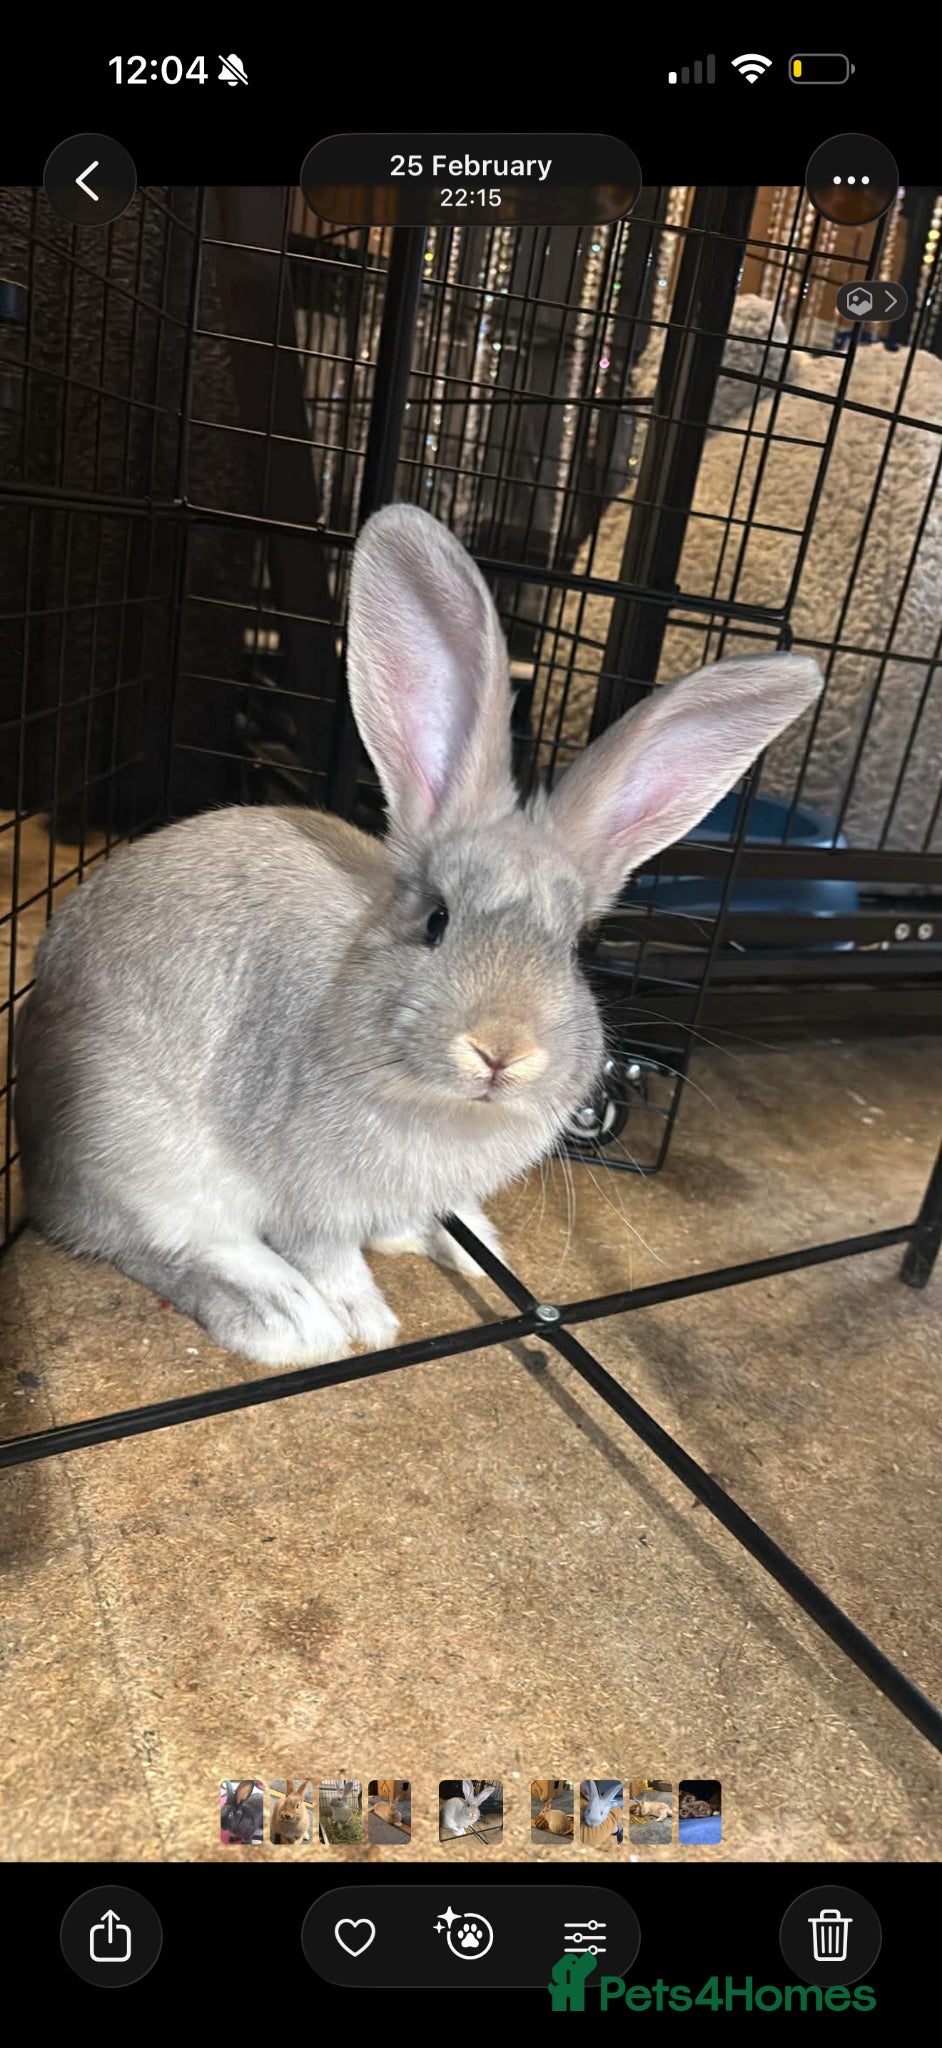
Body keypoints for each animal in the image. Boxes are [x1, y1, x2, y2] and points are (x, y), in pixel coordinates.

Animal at [14, 503, 823, 1369]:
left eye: (575, 947)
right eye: (436, 919)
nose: (502, 1052)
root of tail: (37, 1168)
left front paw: (467, 1245)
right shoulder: (310, 1198)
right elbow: (330, 1254)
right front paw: (367, 1319)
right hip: (140, 1155)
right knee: (158, 1243)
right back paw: (285, 1319)